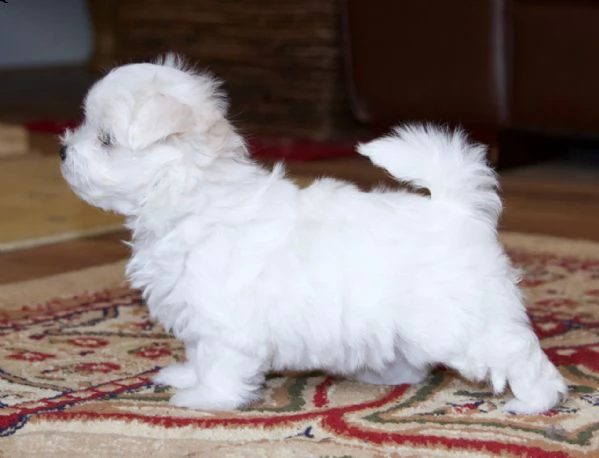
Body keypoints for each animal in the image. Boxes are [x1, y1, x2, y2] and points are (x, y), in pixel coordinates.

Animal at [59, 55, 568, 414]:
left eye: (105, 139)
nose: (63, 151)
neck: (190, 195)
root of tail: (456, 208)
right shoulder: (198, 315)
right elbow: (200, 353)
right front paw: (188, 377)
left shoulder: (225, 322)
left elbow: (221, 363)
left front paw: (206, 399)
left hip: (458, 320)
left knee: (518, 350)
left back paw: (536, 400)